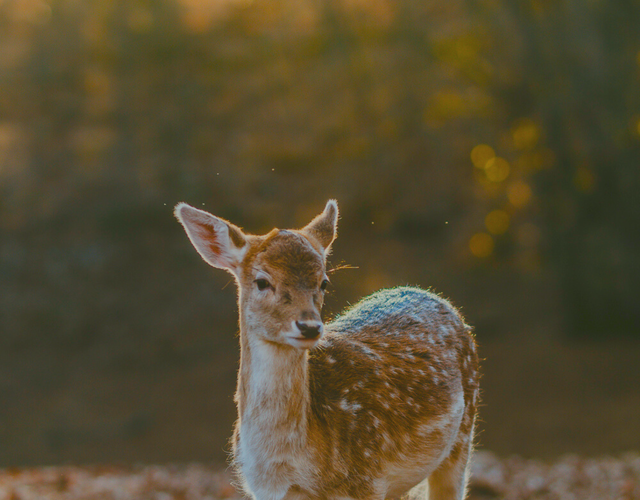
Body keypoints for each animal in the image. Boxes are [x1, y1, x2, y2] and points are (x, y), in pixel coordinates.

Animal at [175, 200, 480, 500]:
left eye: (323, 282)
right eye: (262, 281)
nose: (309, 326)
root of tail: (428, 293)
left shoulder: (368, 478)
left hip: (463, 434)